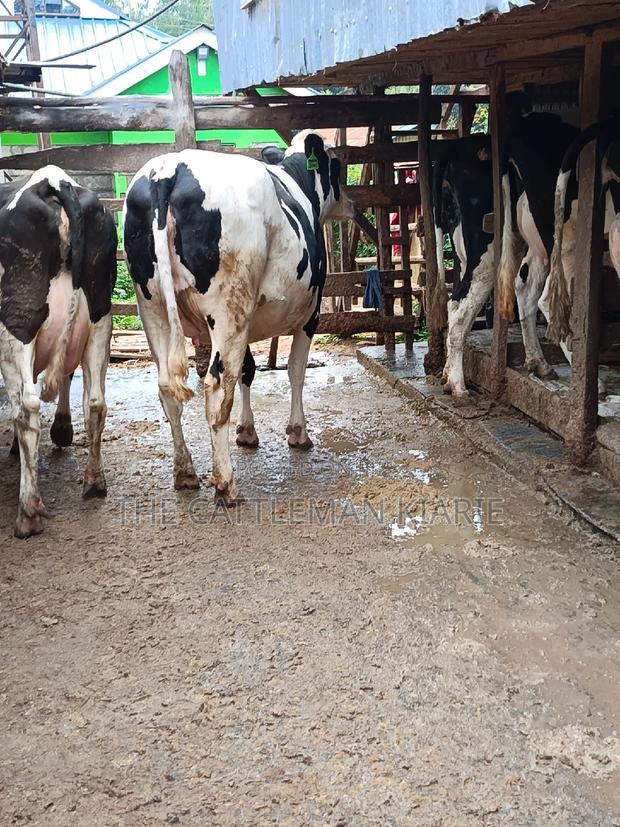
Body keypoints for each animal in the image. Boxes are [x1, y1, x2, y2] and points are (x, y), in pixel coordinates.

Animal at [0, 166, 117, 538]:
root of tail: (54, 182)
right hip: (99, 317)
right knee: (95, 402)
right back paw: (94, 483)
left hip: (17, 322)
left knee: (26, 406)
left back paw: (28, 511)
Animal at [123, 131, 352, 504]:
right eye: (337, 165)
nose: (349, 202)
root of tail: (168, 169)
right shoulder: (310, 313)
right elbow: (295, 371)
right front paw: (298, 433)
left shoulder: (248, 320)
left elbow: (248, 370)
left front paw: (246, 431)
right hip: (228, 309)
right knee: (217, 386)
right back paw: (226, 484)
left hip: (153, 309)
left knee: (168, 387)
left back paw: (186, 473)